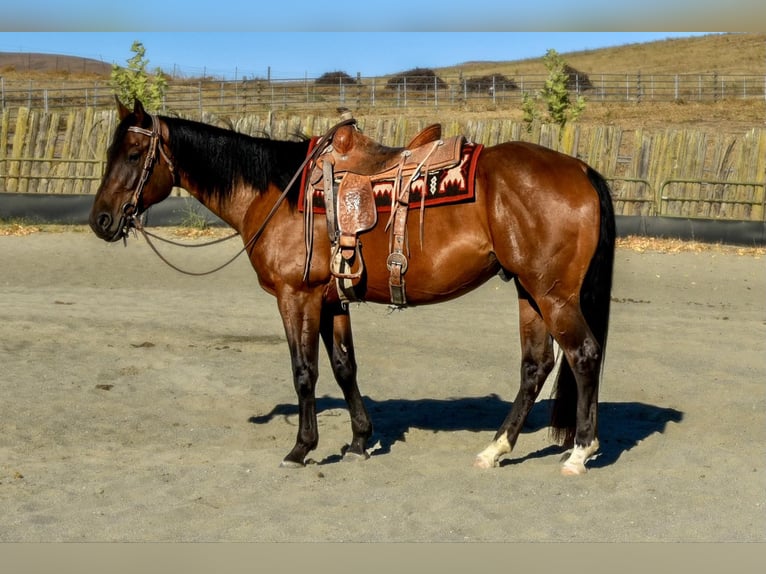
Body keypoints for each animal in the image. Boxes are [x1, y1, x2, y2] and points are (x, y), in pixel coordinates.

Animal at [89, 99, 615, 475]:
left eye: (133, 154)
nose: (101, 220)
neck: (276, 192)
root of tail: (580, 168)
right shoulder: (330, 300)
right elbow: (345, 367)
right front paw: (361, 440)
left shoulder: (296, 297)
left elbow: (305, 372)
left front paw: (301, 448)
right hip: (530, 291)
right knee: (536, 366)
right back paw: (496, 449)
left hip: (553, 294)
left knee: (584, 355)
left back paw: (580, 452)